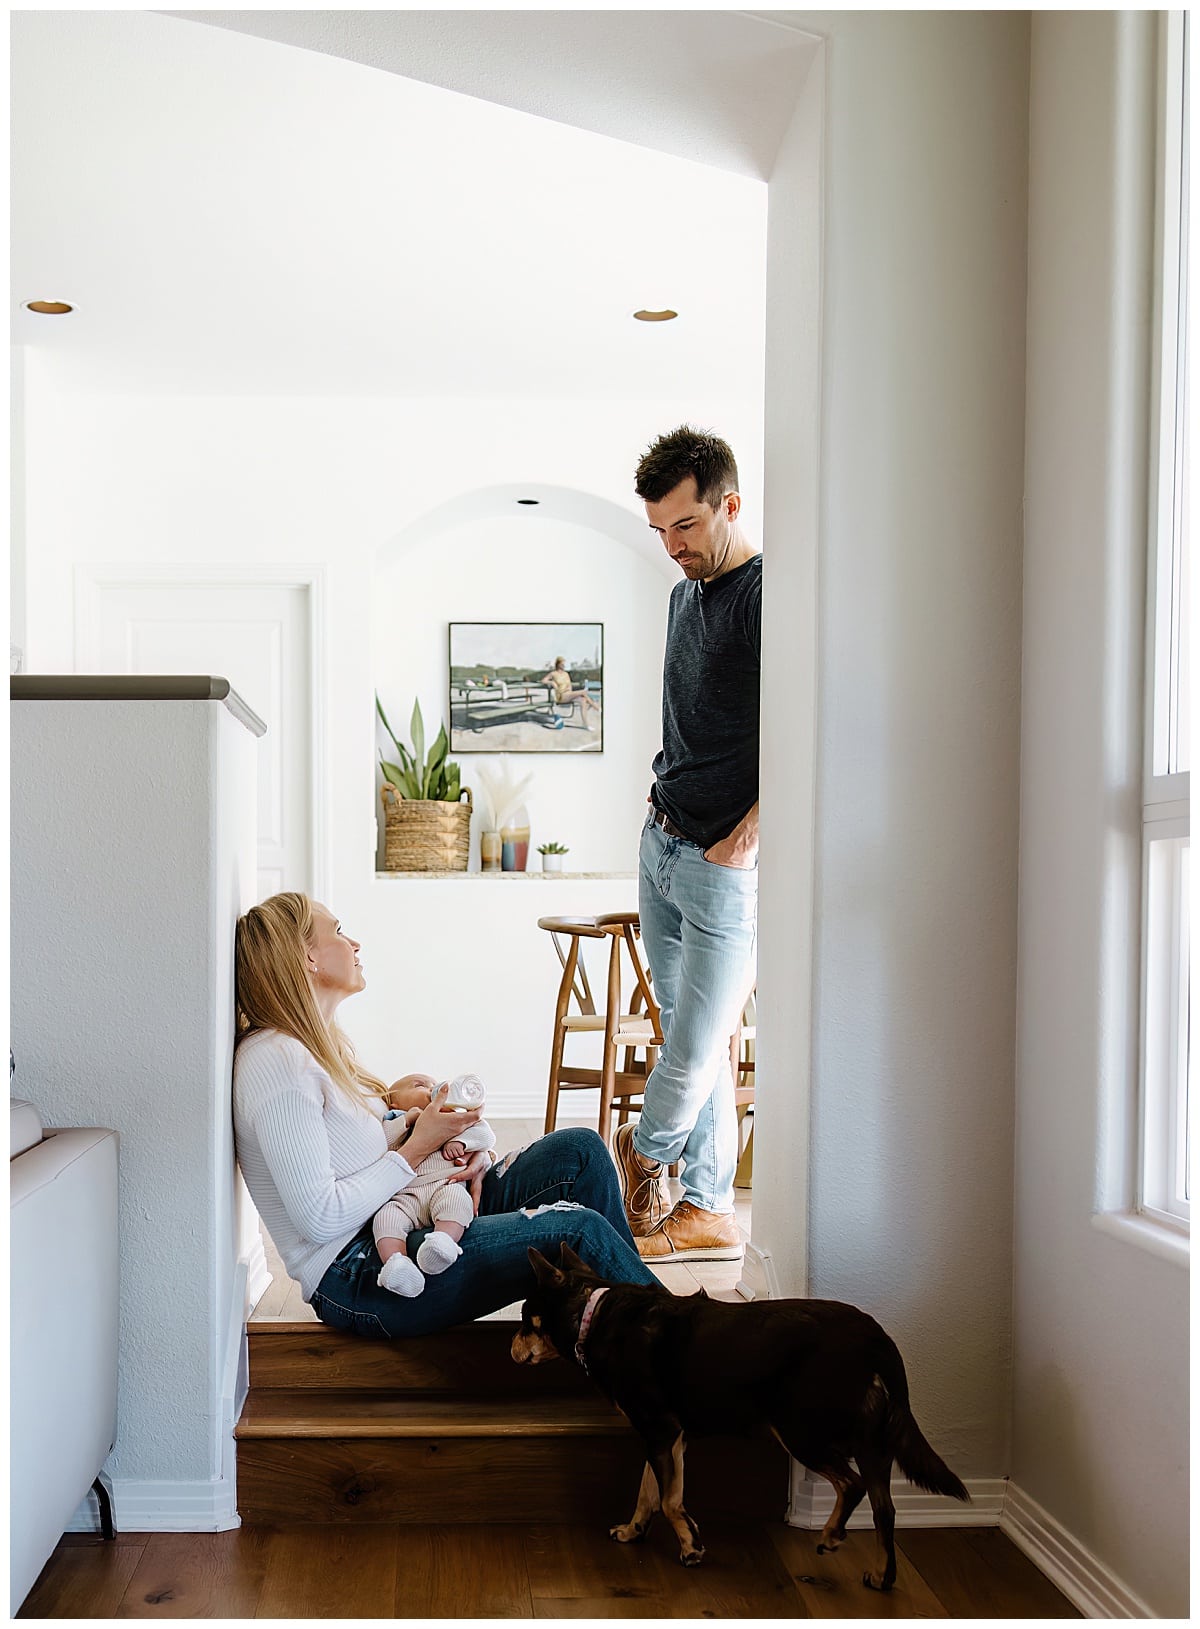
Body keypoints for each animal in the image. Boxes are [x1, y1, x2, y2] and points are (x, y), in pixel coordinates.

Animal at [511, 1244, 970, 1576]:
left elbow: (669, 1499)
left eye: (525, 1318)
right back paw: (881, 1575)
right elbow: (650, 1491)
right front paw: (633, 1531)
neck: (593, 1314)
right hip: (873, 1441)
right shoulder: (670, 1436)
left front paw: (691, 1547)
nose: (510, 1348)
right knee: (884, 1508)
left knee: (852, 1485)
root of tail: (875, 1337)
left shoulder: (660, 1429)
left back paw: (830, 1536)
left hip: (801, 1430)